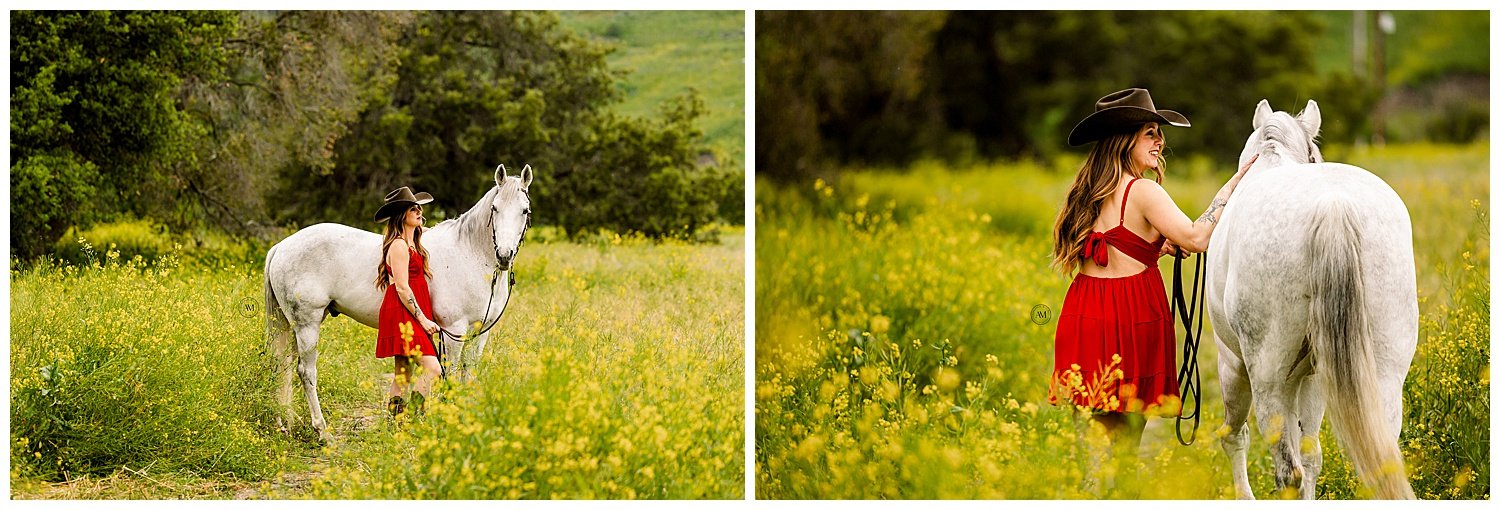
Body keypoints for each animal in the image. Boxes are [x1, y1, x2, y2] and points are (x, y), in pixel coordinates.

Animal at [264, 164, 534, 441]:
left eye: (525, 210)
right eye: (495, 208)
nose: (504, 255)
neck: (470, 255)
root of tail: (281, 247)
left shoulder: (480, 332)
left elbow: (469, 372)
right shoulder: (453, 331)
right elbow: (451, 373)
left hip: (291, 326)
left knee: (284, 366)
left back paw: (286, 423)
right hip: (307, 325)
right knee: (306, 372)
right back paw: (322, 431)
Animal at [1206, 99, 1416, 498]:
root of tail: (1333, 204)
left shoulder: (1232, 363)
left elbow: (1235, 437)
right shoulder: (1316, 376)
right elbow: (1313, 453)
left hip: (1266, 376)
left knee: (1286, 470)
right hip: (1384, 372)